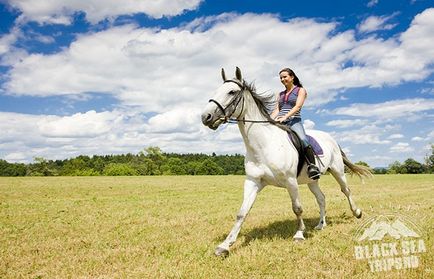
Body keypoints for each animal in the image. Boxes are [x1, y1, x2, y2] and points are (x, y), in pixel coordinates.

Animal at [202, 68, 372, 258]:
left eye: (231, 92)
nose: (206, 117)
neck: (264, 144)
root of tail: (330, 138)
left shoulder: (291, 182)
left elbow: (297, 208)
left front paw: (299, 234)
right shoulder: (253, 182)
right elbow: (242, 212)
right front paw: (225, 245)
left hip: (337, 171)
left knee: (346, 190)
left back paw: (357, 213)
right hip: (312, 180)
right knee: (321, 198)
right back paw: (321, 225)